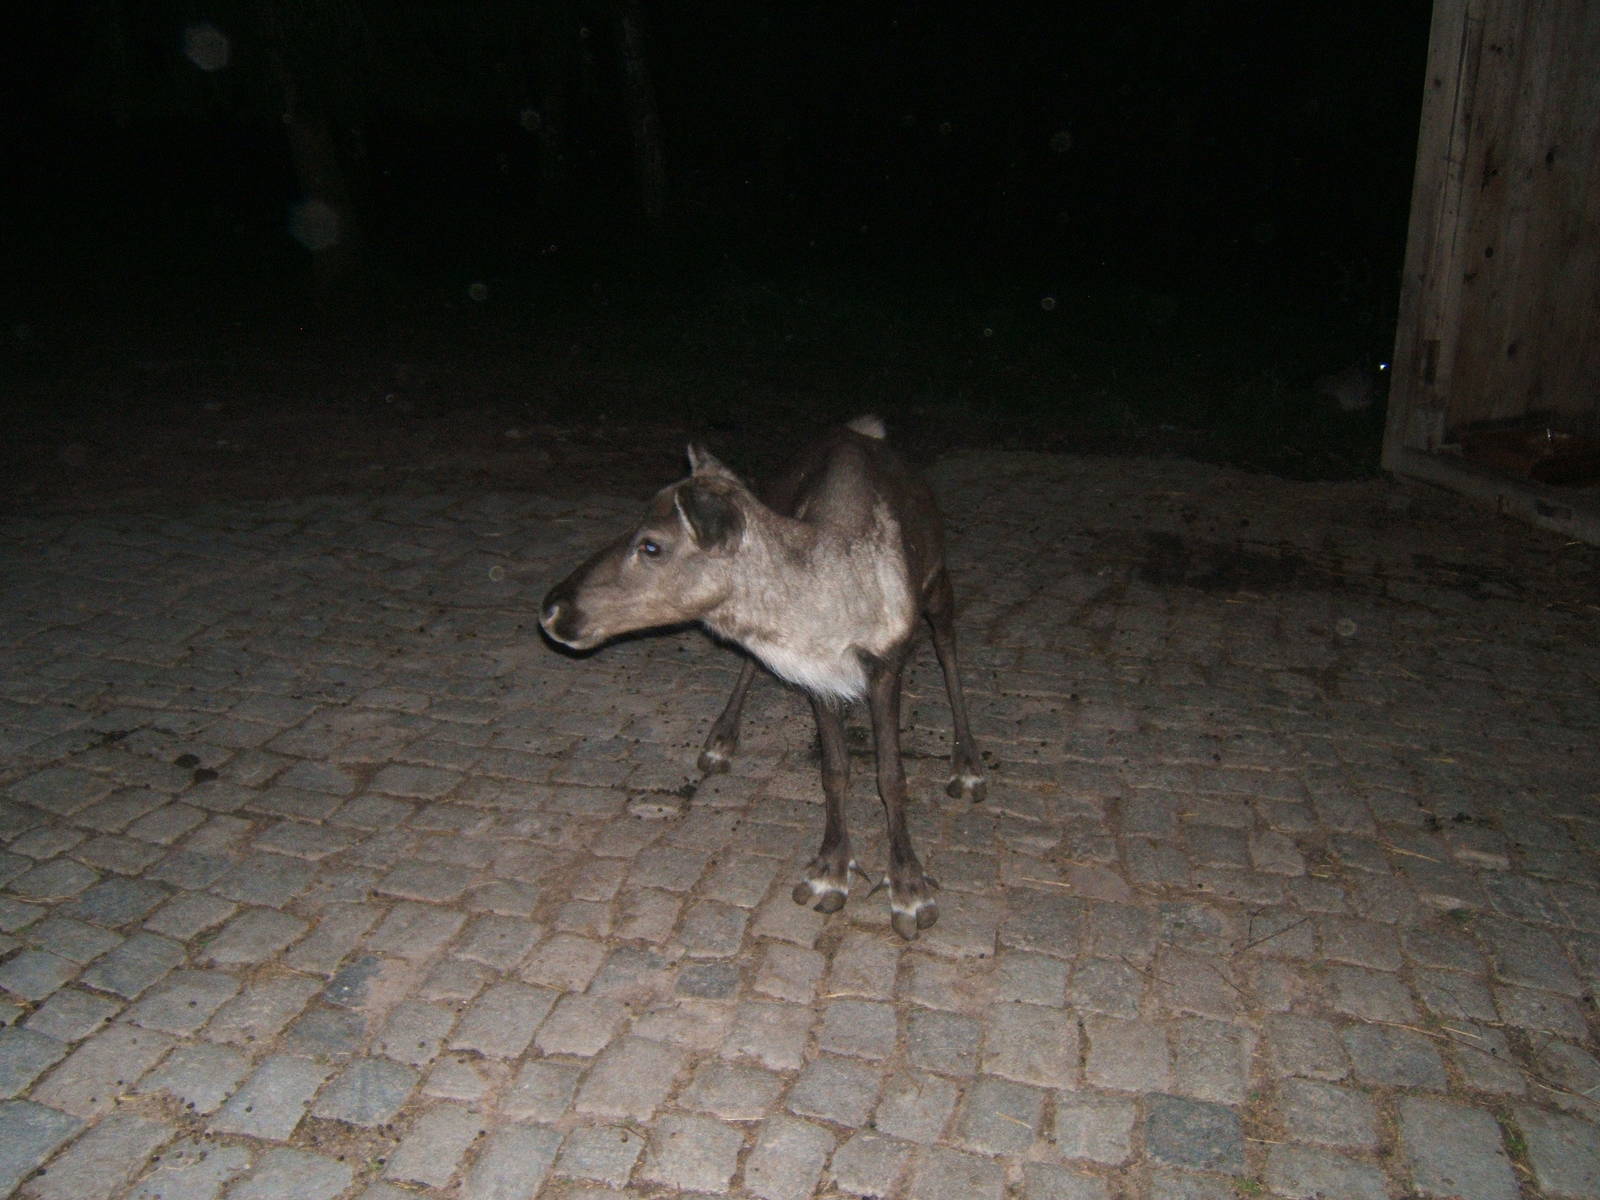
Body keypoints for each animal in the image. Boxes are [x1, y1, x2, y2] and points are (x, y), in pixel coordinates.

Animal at [540, 415, 985, 939]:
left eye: (651, 545)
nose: (553, 609)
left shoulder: (885, 662)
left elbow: (891, 777)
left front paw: (909, 889)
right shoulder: (819, 676)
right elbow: (834, 770)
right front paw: (830, 870)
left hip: (937, 582)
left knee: (949, 646)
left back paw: (968, 763)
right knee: (751, 661)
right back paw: (721, 738)